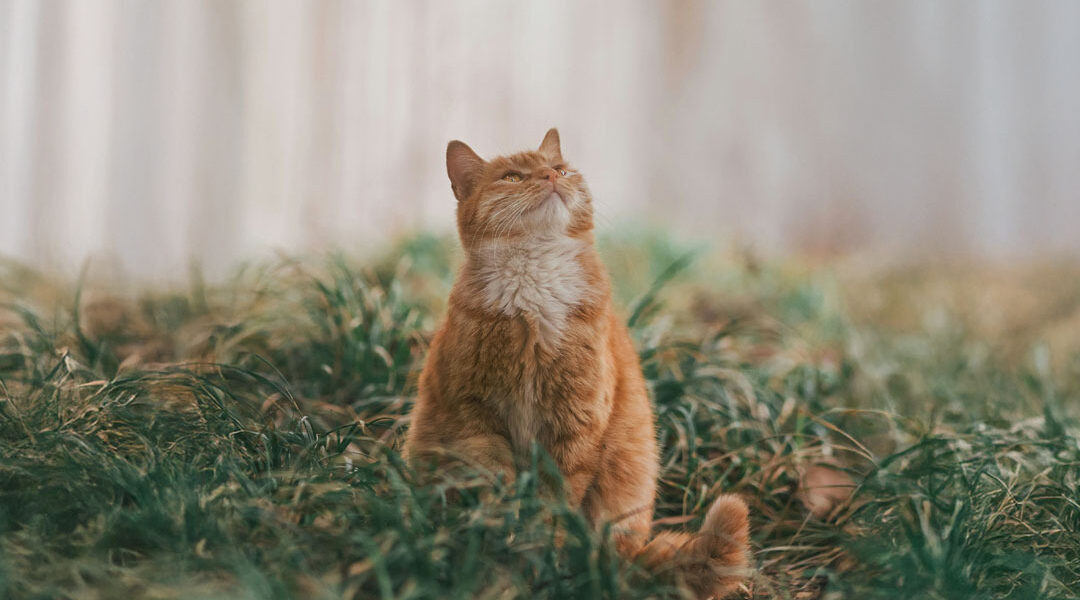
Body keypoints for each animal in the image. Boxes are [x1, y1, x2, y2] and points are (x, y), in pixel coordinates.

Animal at [406, 128, 751, 595]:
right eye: (512, 177)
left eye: (562, 169)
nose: (552, 176)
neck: (534, 293)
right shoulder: (475, 419)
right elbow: (496, 487)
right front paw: (502, 543)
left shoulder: (575, 423)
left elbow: (555, 503)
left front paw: (540, 552)